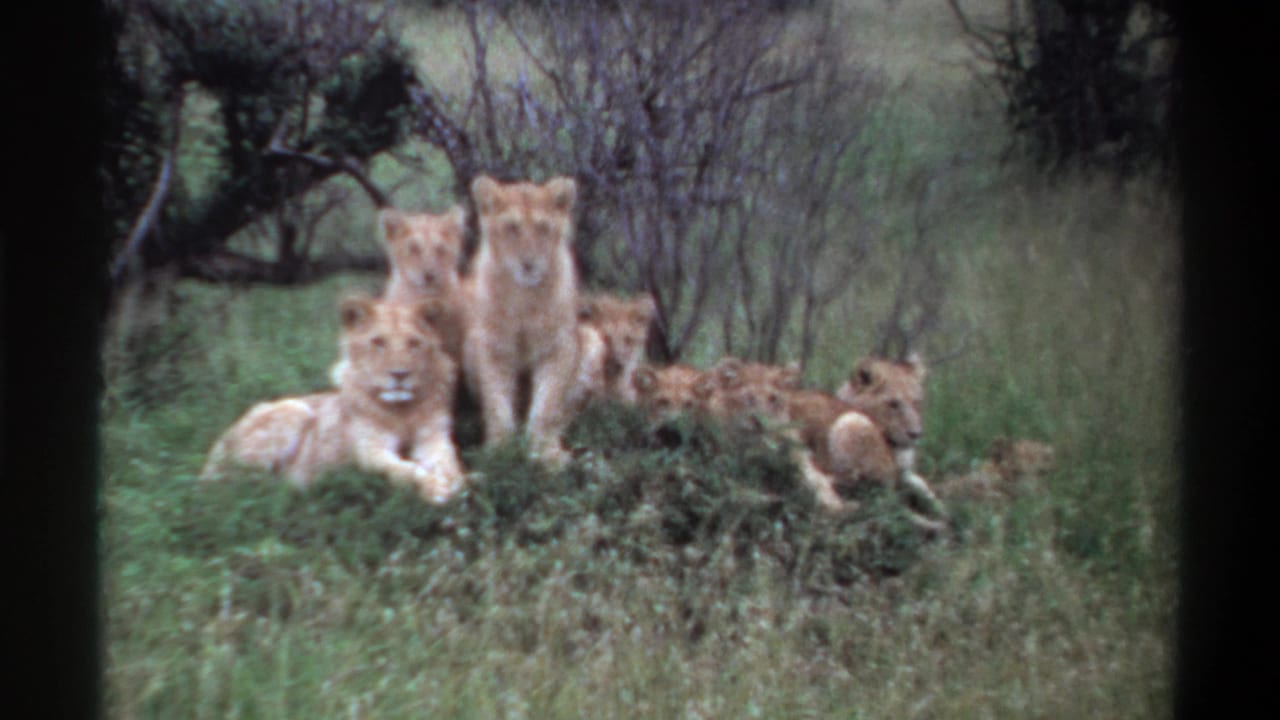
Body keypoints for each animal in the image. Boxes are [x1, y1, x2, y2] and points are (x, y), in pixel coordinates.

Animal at [201, 295, 466, 504]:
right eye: (378, 342)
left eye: (414, 343)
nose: (399, 374)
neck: (402, 411)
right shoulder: (369, 451)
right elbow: (404, 470)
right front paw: (435, 487)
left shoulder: (434, 438)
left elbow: (449, 463)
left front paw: (458, 482)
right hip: (294, 409)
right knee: (235, 486)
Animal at [462, 175, 581, 464]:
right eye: (511, 228)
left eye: (542, 227)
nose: (529, 264)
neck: (524, 298)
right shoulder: (492, 348)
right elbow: (497, 405)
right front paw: (500, 451)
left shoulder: (559, 347)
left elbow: (546, 406)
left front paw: (545, 452)